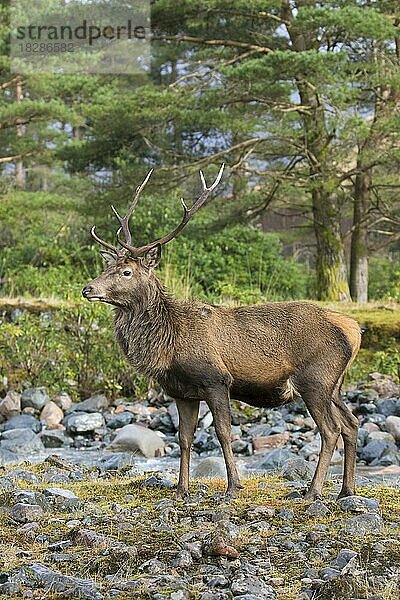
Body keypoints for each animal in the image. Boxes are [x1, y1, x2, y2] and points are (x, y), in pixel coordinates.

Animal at [83, 165, 360, 502]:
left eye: (126, 272)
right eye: (106, 268)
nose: (88, 288)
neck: (167, 345)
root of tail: (355, 330)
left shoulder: (216, 380)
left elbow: (223, 432)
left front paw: (233, 486)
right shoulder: (181, 392)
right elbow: (184, 438)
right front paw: (181, 489)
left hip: (315, 380)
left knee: (331, 430)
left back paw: (314, 491)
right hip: (335, 385)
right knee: (352, 423)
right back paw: (345, 490)